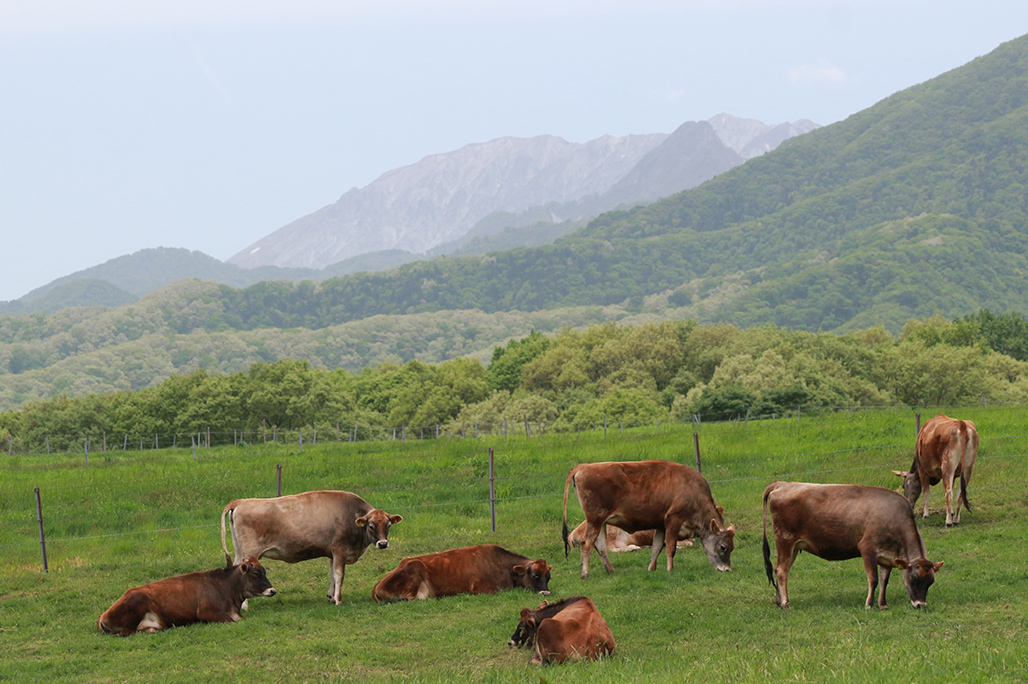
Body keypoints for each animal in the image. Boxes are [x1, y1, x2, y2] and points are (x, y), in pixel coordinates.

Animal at [96, 555, 277, 633]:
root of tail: (103, 615)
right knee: (126, 632)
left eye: (265, 572)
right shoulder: (205, 612)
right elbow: (230, 620)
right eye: (256, 574)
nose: (272, 590)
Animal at [221, 487, 400, 604]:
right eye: (371, 526)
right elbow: (339, 574)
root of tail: (239, 502)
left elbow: (332, 574)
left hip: (239, 551)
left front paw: (331, 596)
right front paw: (338, 600)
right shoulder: (340, 550)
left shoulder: (332, 553)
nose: (383, 543)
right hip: (250, 552)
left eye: (388, 525)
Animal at [559, 458, 736, 576]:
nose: (727, 569)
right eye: (723, 547)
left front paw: (652, 569)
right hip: (595, 521)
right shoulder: (673, 520)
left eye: (732, 547)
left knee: (600, 547)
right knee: (587, 544)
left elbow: (657, 547)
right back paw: (585, 574)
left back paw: (611, 571)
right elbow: (670, 547)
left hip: (601, 523)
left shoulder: (660, 526)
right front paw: (670, 569)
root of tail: (584, 466)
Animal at [760, 479, 941, 608]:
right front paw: (869, 604)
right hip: (785, 541)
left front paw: (883, 604)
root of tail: (783, 484)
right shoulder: (867, 549)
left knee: (778, 568)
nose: (921, 605)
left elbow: (884, 580)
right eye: (914, 578)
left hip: (793, 547)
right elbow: (873, 578)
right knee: (782, 571)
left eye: (931, 581)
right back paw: (785, 603)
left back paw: (779, 600)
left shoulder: (887, 558)